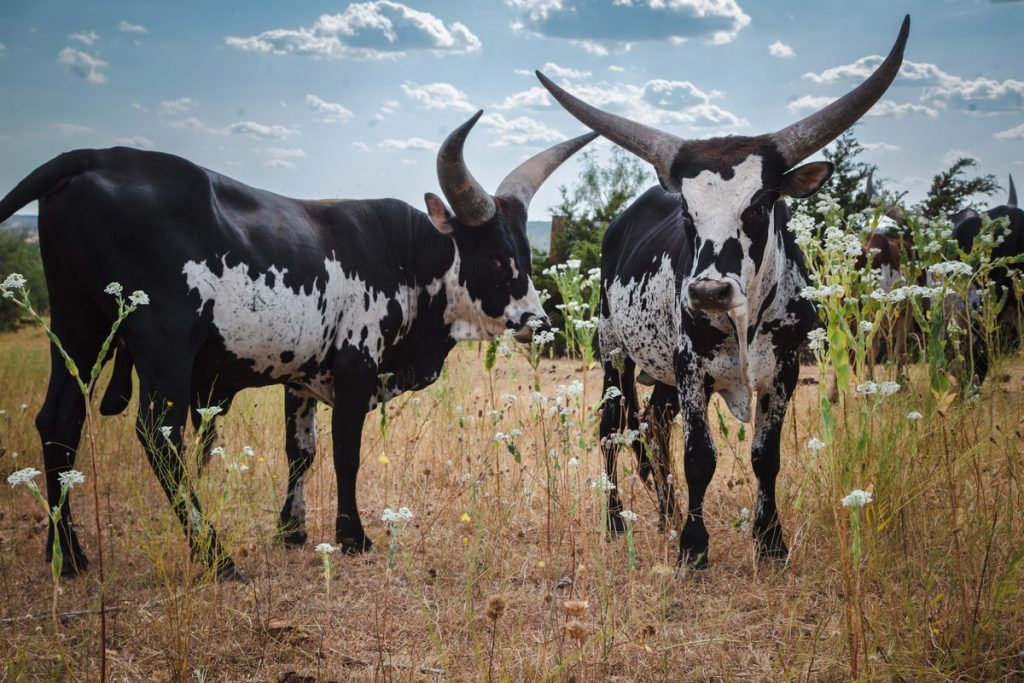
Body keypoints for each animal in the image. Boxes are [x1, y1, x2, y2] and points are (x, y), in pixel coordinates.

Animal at [0, 112, 595, 581]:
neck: (405, 258)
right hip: (163, 346)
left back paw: (67, 556)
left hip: (76, 326)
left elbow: (300, 451)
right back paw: (215, 557)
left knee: (59, 422)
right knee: (159, 437)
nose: (538, 321)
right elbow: (346, 454)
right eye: (496, 258)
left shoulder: (302, 377)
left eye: (526, 252)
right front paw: (353, 536)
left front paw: (292, 530)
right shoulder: (356, 371)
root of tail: (88, 158)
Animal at [537, 16, 909, 568]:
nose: (709, 292)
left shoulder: (784, 369)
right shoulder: (692, 365)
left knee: (652, 427)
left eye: (759, 205)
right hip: (614, 350)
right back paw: (616, 520)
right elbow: (699, 457)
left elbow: (765, 456)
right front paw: (694, 548)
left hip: (662, 373)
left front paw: (770, 540)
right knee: (612, 428)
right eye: (688, 214)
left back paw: (668, 513)